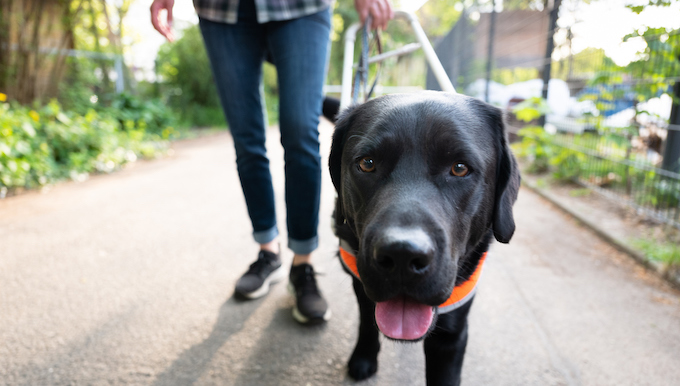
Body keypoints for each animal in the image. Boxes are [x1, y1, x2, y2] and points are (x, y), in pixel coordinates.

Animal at [324, 92, 520, 384]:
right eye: (367, 163)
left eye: (460, 168)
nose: (402, 254)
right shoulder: (361, 284)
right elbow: (367, 322)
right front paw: (363, 357)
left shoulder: (452, 334)